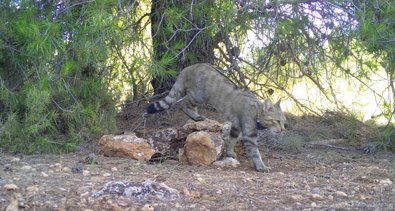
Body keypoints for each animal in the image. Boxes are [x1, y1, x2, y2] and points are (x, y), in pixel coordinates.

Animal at [147, 63, 286, 172]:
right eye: (277, 121)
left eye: (284, 122)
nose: (283, 130)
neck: (256, 110)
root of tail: (188, 67)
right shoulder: (249, 135)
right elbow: (255, 152)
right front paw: (261, 167)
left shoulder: (236, 126)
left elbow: (232, 140)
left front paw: (230, 152)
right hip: (198, 96)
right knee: (183, 103)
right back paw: (196, 117)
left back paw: (196, 116)